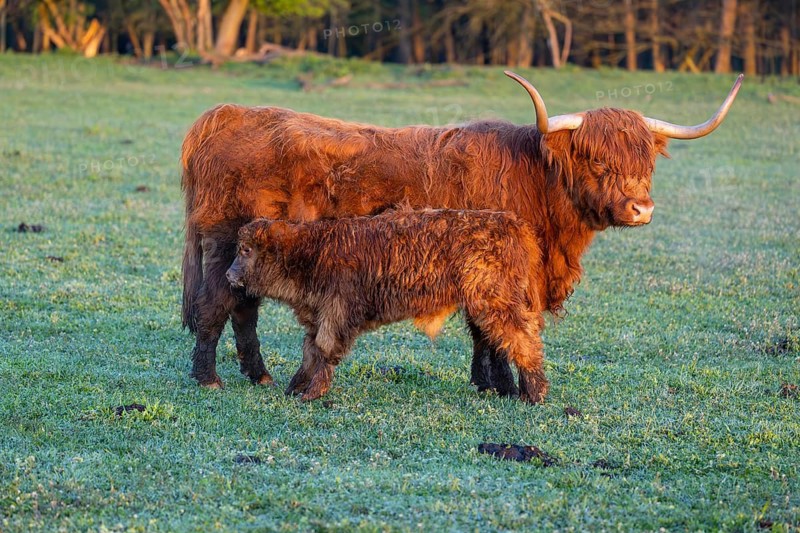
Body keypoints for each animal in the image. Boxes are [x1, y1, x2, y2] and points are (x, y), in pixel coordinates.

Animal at [225, 209, 547, 402]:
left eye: (246, 250)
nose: (228, 274)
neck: (310, 252)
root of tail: (514, 224)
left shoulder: (336, 314)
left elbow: (325, 351)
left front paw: (312, 393)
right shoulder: (317, 318)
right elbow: (310, 352)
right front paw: (296, 386)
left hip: (498, 306)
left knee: (524, 342)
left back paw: (534, 395)